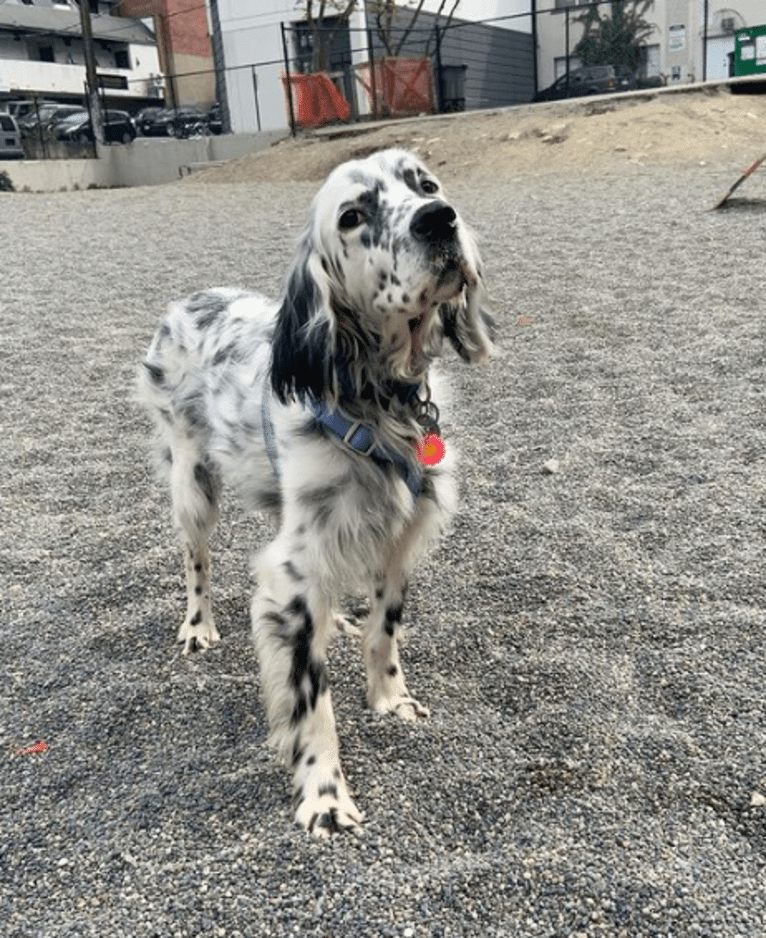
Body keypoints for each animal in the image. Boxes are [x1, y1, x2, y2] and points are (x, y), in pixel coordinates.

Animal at [140, 148, 496, 832]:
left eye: (425, 184)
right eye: (353, 216)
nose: (439, 219)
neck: (382, 403)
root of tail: (190, 300)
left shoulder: (397, 538)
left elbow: (385, 630)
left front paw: (390, 699)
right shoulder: (292, 576)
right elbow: (312, 700)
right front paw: (325, 795)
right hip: (191, 481)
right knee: (195, 559)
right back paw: (198, 625)